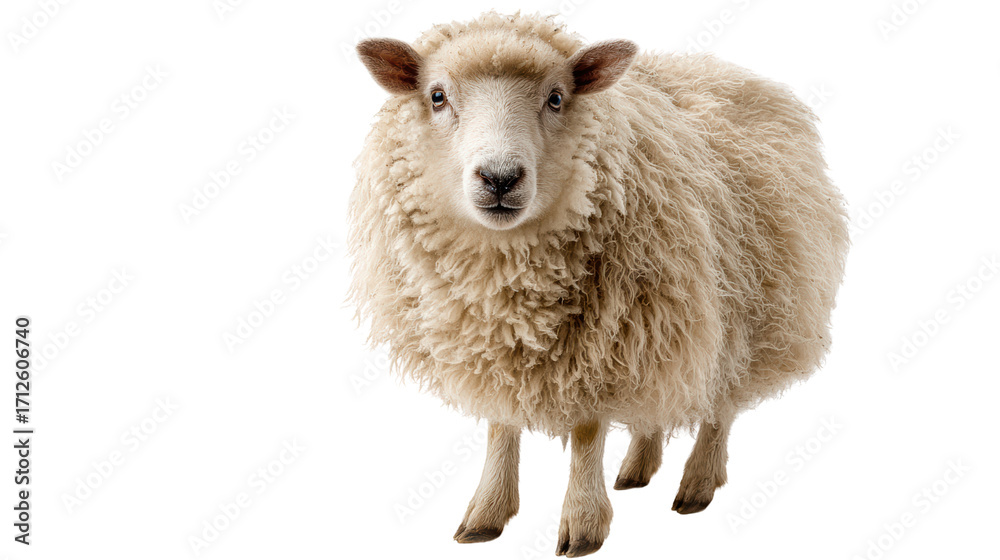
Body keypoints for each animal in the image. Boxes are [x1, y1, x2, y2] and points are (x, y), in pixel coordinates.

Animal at [350, 11, 848, 557]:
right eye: (437, 96)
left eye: (556, 97)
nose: (500, 178)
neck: (509, 279)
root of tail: (732, 73)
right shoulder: (498, 345)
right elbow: (501, 425)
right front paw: (487, 513)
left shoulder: (604, 343)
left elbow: (588, 430)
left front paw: (583, 523)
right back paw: (637, 468)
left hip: (745, 306)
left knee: (721, 401)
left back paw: (697, 483)